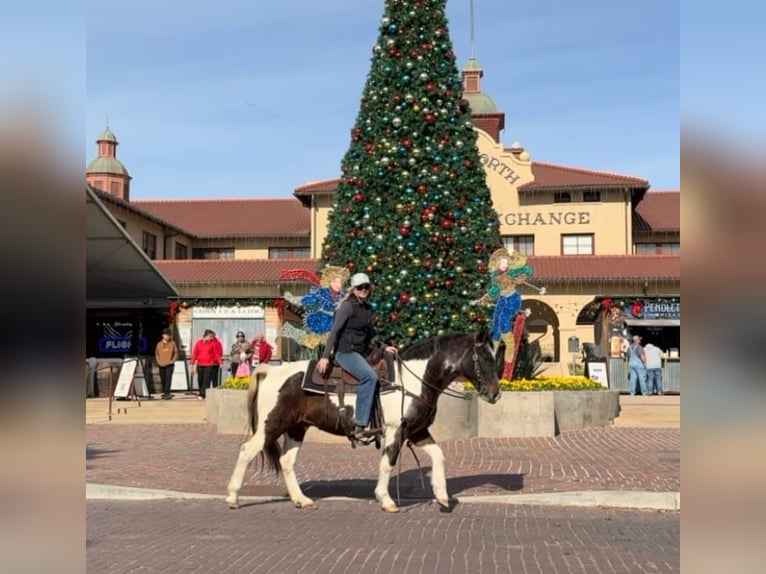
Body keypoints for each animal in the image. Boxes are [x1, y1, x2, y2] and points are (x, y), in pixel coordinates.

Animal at [225, 327, 501, 513]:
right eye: (486, 358)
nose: (496, 394)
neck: (414, 379)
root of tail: (271, 370)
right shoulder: (395, 431)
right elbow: (388, 463)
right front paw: (386, 499)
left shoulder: (417, 431)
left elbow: (439, 456)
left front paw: (442, 496)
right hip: (272, 425)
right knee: (247, 450)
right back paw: (233, 497)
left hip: (296, 428)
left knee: (286, 461)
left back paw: (302, 500)